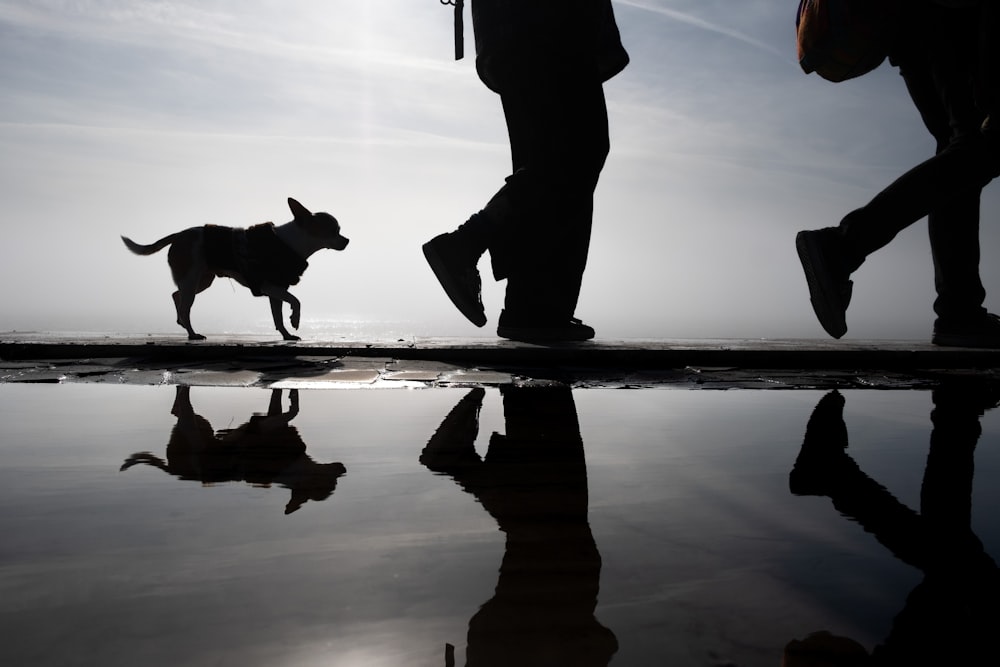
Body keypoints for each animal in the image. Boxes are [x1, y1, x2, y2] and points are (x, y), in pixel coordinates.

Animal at [121, 197, 350, 340]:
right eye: (334, 230)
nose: (347, 240)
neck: (291, 243)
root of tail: (178, 235)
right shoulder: (269, 286)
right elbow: (296, 300)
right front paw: (295, 319)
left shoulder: (276, 290)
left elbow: (277, 316)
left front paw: (286, 335)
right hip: (191, 280)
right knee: (185, 306)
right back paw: (192, 333)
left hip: (202, 280)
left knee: (176, 295)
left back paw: (182, 323)